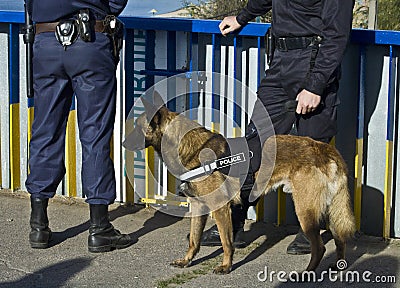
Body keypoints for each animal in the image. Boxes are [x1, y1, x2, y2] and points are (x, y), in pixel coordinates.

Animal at [123, 93, 354, 276]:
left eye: (136, 127)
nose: (123, 143)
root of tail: (325, 148)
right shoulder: (198, 207)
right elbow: (194, 240)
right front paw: (186, 261)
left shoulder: (220, 208)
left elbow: (227, 242)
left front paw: (226, 266)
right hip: (331, 210)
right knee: (340, 239)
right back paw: (337, 266)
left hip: (305, 209)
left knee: (320, 247)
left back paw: (306, 273)